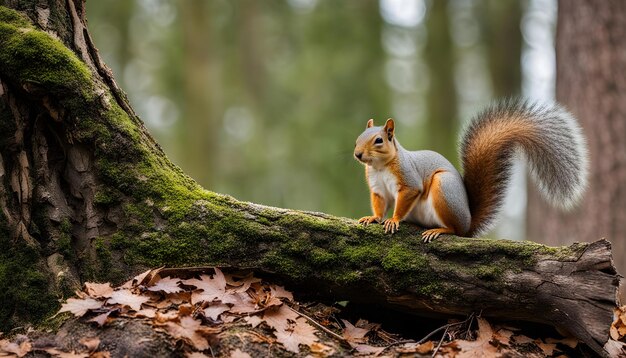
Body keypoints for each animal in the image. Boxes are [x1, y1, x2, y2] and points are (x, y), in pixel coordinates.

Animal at [354, 99, 588, 242]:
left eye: (378, 140)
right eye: (358, 138)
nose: (357, 154)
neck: (380, 167)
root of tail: (468, 224)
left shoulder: (409, 178)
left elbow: (408, 195)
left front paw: (394, 219)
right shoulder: (377, 187)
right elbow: (379, 203)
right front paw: (373, 217)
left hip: (444, 188)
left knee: (455, 230)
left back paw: (440, 230)